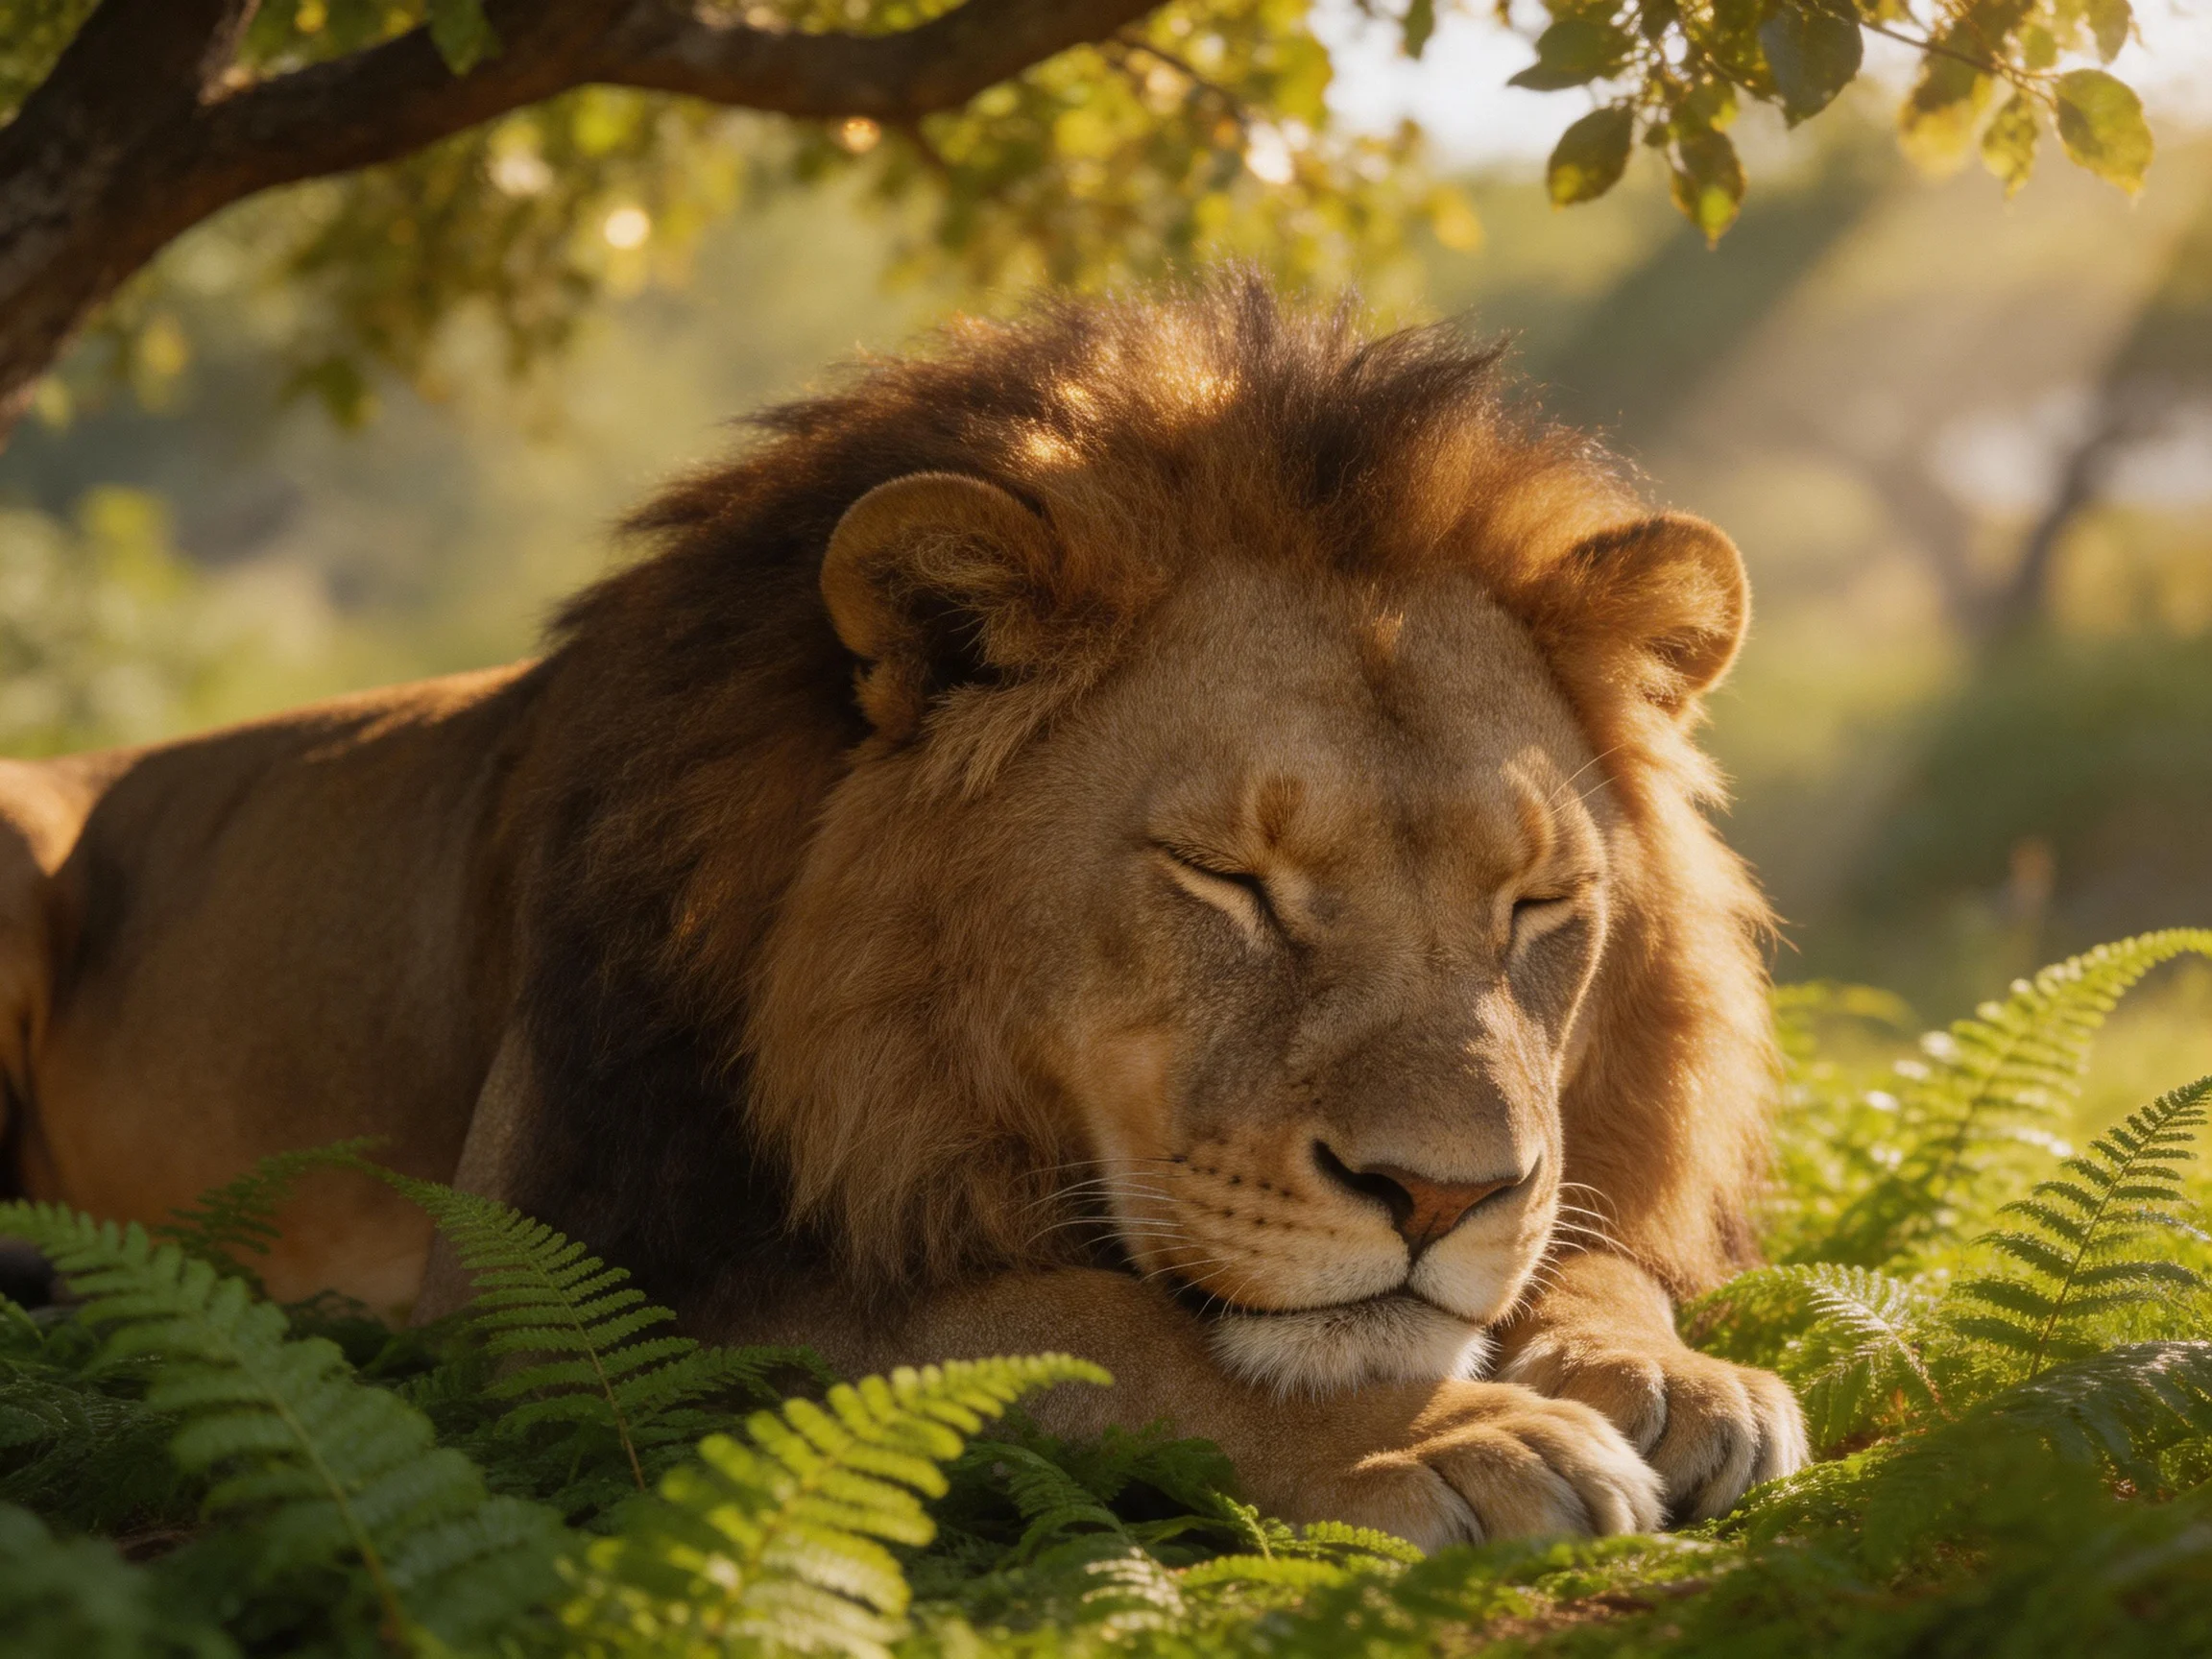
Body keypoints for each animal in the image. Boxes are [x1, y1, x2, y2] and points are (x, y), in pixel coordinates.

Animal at [0, 276, 1805, 1547]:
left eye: (1536, 904)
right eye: (1227, 879)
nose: (1440, 1195)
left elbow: (1591, 1257)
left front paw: (1657, 1365)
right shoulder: (560, 1298)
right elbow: (1069, 1323)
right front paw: (1445, 1432)